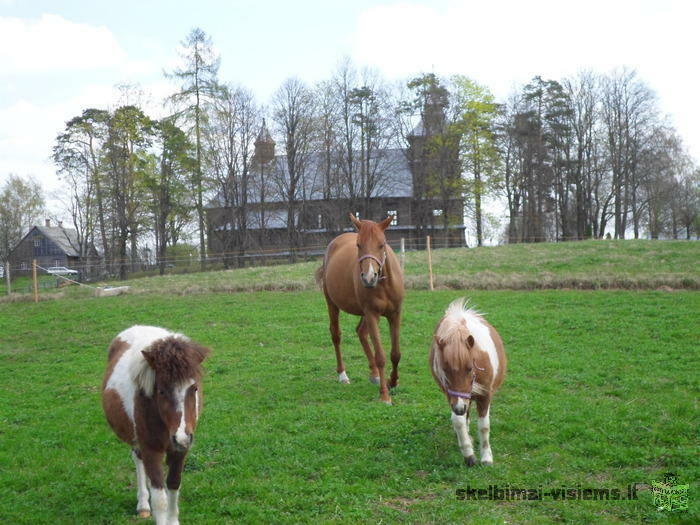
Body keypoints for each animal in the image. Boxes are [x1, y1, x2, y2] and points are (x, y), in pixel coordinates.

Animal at [101, 326, 209, 520]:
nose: (181, 438)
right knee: (138, 460)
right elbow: (159, 500)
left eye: (195, 388)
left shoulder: (180, 450)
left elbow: (173, 485)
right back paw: (143, 505)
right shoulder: (151, 449)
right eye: (161, 391)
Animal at [318, 211, 404, 404]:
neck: (383, 283)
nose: (369, 277)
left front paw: (393, 382)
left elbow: (395, 354)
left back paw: (374, 375)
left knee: (361, 332)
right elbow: (381, 356)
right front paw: (384, 395)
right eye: (358, 244)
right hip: (332, 304)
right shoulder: (372, 314)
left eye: (382, 244)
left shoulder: (395, 314)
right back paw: (343, 375)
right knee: (336, 335)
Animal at [430, 298, 506, 466]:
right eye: (444, 369)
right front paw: (468, 454)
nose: (459, 408)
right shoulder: (453, 397)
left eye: (470, 368)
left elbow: (484, 426)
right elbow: (458, 421)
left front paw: (486, 457)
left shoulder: (485, 396)